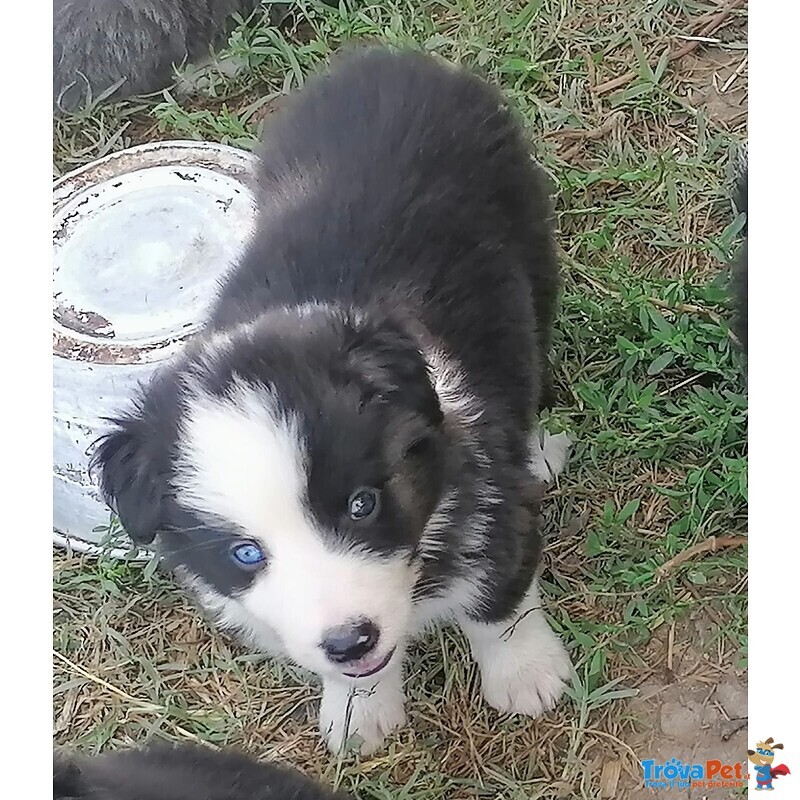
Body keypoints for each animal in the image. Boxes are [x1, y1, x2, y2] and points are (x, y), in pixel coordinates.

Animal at [92, 50, 568, 756]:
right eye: (246, 554)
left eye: (362, 505)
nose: (350, 640)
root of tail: (385, 57)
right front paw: (357, 710)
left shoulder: (488, 493)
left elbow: (496, 598)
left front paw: (527, 675)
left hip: (530, 240)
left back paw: (538, 449)